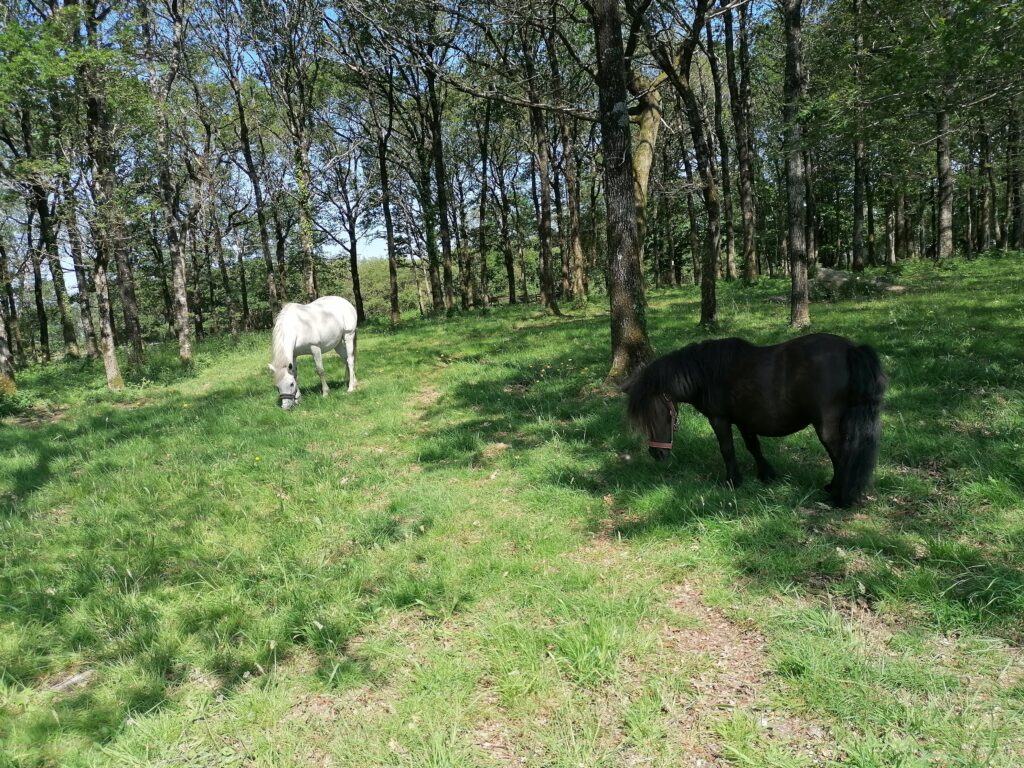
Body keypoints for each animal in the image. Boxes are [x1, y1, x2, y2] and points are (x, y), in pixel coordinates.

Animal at [623, 333, 887, 507]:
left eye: (655, 416)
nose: (656, 454)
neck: (707, 374)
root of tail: (851, 350)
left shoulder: (719, 419)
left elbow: (727, 449)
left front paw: (732, 480)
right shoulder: (745, 420)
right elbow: (754, 447)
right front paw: (766, 474)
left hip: (827, 426)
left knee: (841, 455)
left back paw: (839, 497)